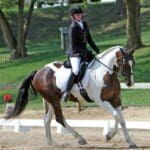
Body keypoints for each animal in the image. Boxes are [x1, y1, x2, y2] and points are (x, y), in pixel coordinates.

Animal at [5, 45, 137, 148]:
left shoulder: (116, 99)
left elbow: (121, 119)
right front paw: (109, 136)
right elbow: (116, 116)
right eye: (124, 62)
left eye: (133, 63)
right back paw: (80, 139)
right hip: (53, 100)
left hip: (53, 100)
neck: (106, 73)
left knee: (47, 119)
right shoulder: (101, 101)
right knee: (59, 118)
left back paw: (51, 143)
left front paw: (130, 142)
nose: (130, 83)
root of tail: (38, 71)